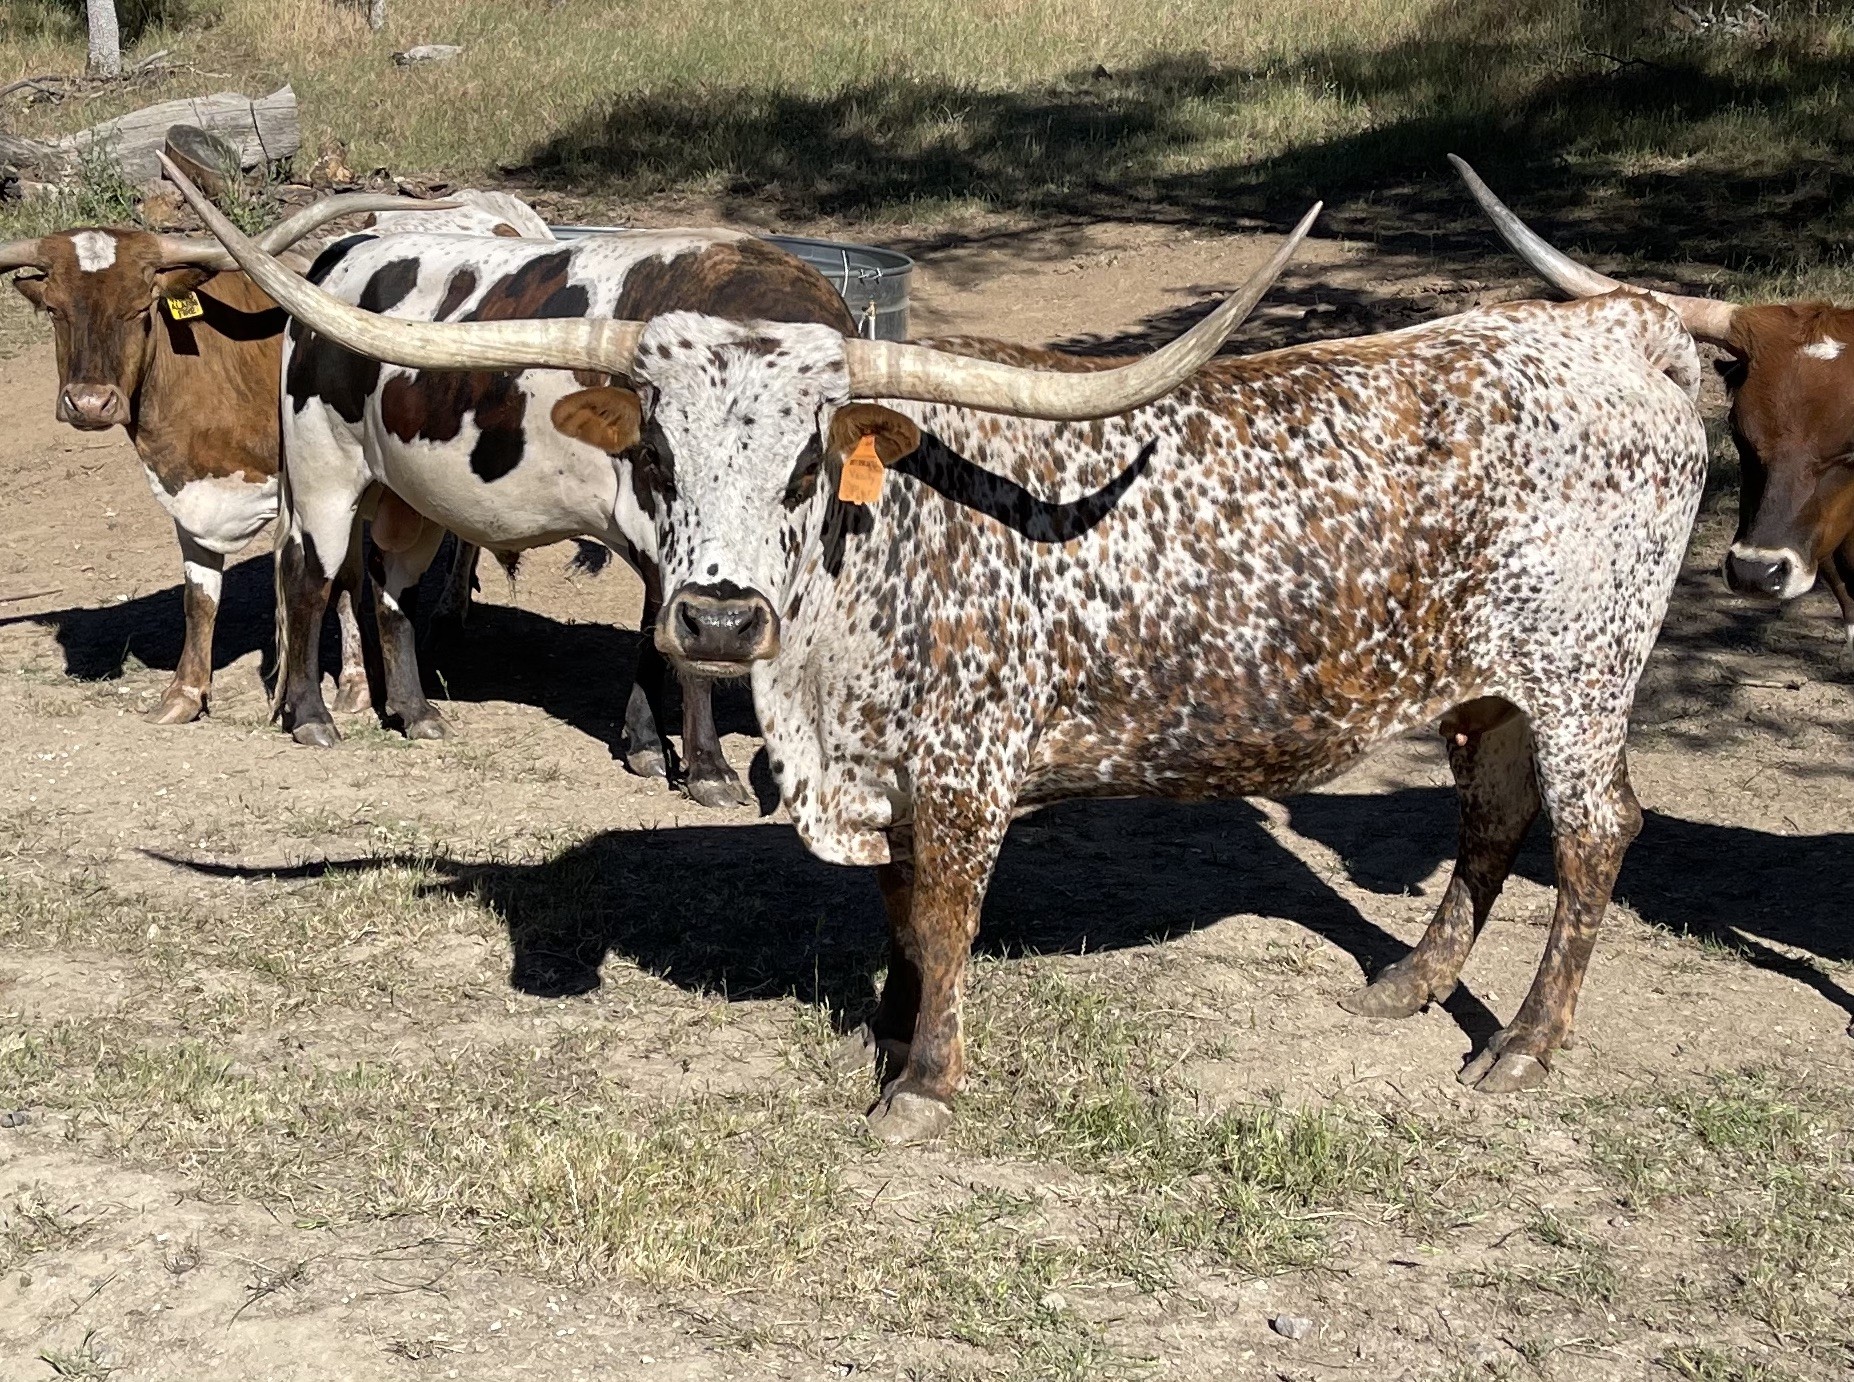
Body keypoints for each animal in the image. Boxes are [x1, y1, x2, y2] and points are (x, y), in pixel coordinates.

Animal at [0, 190, 457, 723]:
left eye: (140, 308)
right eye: (54, 309)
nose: (90, 403)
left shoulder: (332, 486)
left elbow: (343, 581)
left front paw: (355, 685)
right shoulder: (189, 490)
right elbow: (199, 596)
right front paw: (184, 693)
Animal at [242, 202, 860, 806]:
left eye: (808, 467)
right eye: (657, 456)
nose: (726, 624)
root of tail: (343, 252)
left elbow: (654, 632)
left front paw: (645, 743)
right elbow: (684, 653)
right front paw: (708, 768)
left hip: (408, 495)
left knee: (392, 584)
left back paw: (416, 711)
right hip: (326, 474)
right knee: (307, 580)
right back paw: (311, 715)